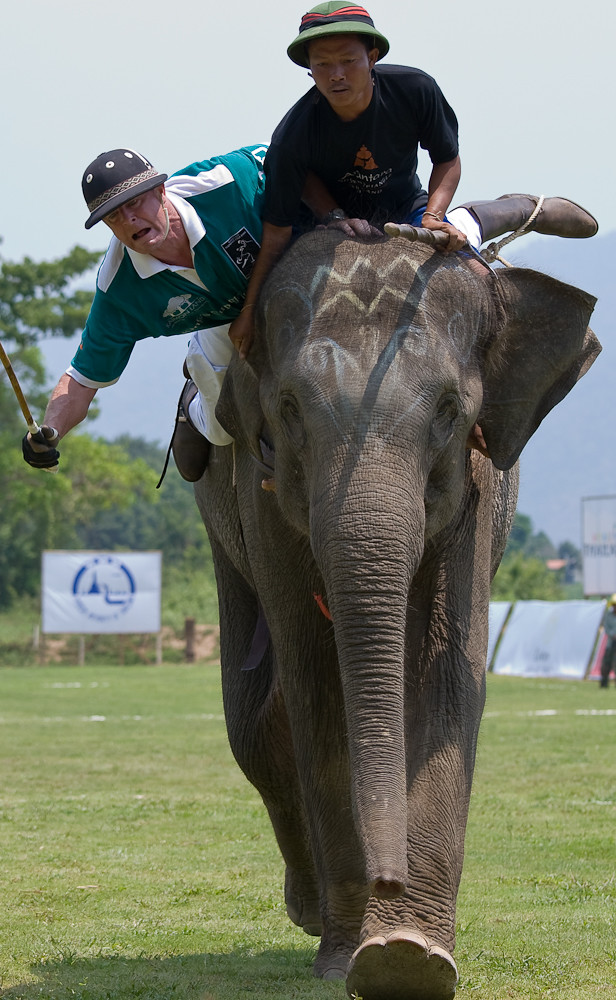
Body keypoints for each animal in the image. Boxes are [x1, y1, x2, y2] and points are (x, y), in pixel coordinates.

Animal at [193, 229, 598, 1000]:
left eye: (448, 409)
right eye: (289, 407)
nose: (389, 878)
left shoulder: (478, 481)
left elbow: (448, 673)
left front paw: (410, 956)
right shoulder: (259, 485)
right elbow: (318, 681)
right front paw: (354, 953)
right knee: (254, 723)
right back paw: (310, 909)